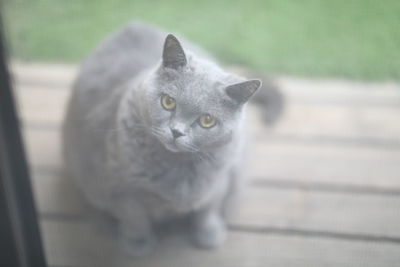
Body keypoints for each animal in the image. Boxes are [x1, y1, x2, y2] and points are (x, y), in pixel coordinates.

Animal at [62, 21, 268, 258]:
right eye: (168, 102)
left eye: (207, 120)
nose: (177, 132)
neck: (178, 167)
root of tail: (131, 25)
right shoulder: (120, 187)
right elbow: (135, 217)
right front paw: (138, 244)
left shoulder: (219, 180)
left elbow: (208, 209)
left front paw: (209, 233)